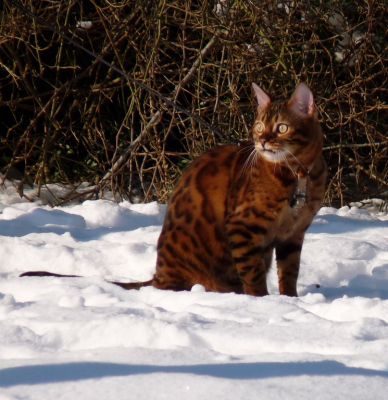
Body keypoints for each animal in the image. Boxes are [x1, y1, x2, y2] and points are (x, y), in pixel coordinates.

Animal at [21, 83, 326, 296]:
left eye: (282, 127)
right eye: (259, 125)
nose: (262, 141)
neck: (298, 174)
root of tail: (160, 275)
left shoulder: (293, 234)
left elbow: (290, 273)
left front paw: (291, 301)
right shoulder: (244, 227)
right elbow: (253, 277)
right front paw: (264, 303)